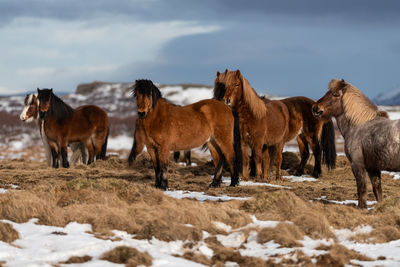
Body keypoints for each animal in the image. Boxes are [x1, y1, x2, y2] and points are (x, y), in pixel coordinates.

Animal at [310, 78, 392, 208]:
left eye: (335, 94)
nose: (315, 108)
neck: (360, 126)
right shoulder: (373, 167)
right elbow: (377, 190)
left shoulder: (357, 165)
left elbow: (362, 190)